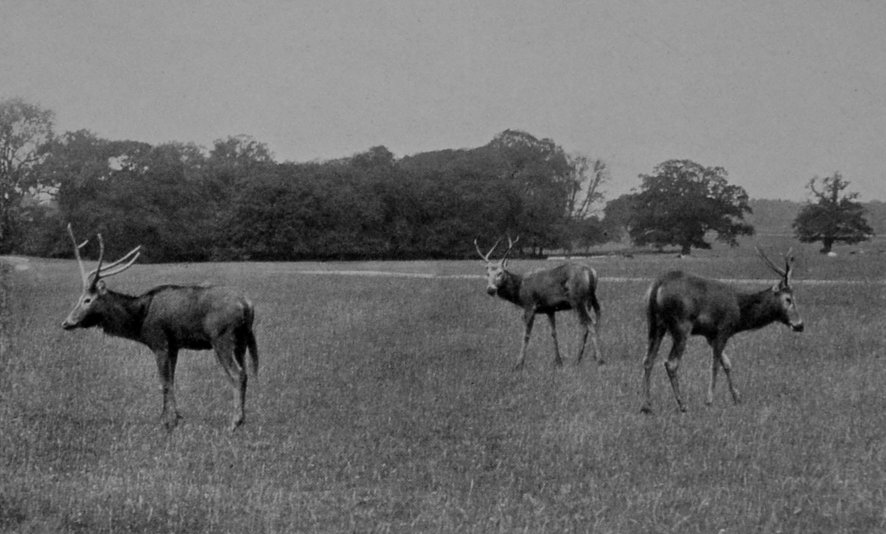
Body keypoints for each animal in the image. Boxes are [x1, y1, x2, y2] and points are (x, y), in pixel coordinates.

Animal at [61, 225, 259, 432]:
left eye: (87, 299)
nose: (66, 322)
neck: (140, 321)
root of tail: (247, 304)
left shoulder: (159, 341)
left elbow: (163, 382)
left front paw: (166, 421)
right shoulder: (174, 345)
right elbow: (171, 380)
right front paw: (176, 417)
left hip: (221, 337)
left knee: (238, 374)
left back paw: (234, 422)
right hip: (241, 341)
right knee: (245, 372)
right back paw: (242, 419)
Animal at [475, 236, 602, 370]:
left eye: (500, 273)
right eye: (487, 274)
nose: (490, 289)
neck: (519, 291)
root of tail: (592, 272)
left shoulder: (530, 305)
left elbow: (526, 335)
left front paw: (518, 364)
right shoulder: (549, 309)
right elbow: (553, 333)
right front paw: (558, 361)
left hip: (577, 300)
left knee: (589, 323)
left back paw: (597, 360)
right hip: (590, 299)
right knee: (593, 320)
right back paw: (584, 358)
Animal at [640, 246, 804, 414]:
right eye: (788, 299)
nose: (800, 325)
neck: (740, 314)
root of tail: (656, 287)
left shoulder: (710, 335)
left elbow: (727, 363)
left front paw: (737, 397)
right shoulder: (723, 329)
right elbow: (715, 365)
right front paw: (709, 400)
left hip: (654, 323)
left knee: (648, 359)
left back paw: (647, 405)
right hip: (681, 325)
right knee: (671, 363)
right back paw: (682, 404)